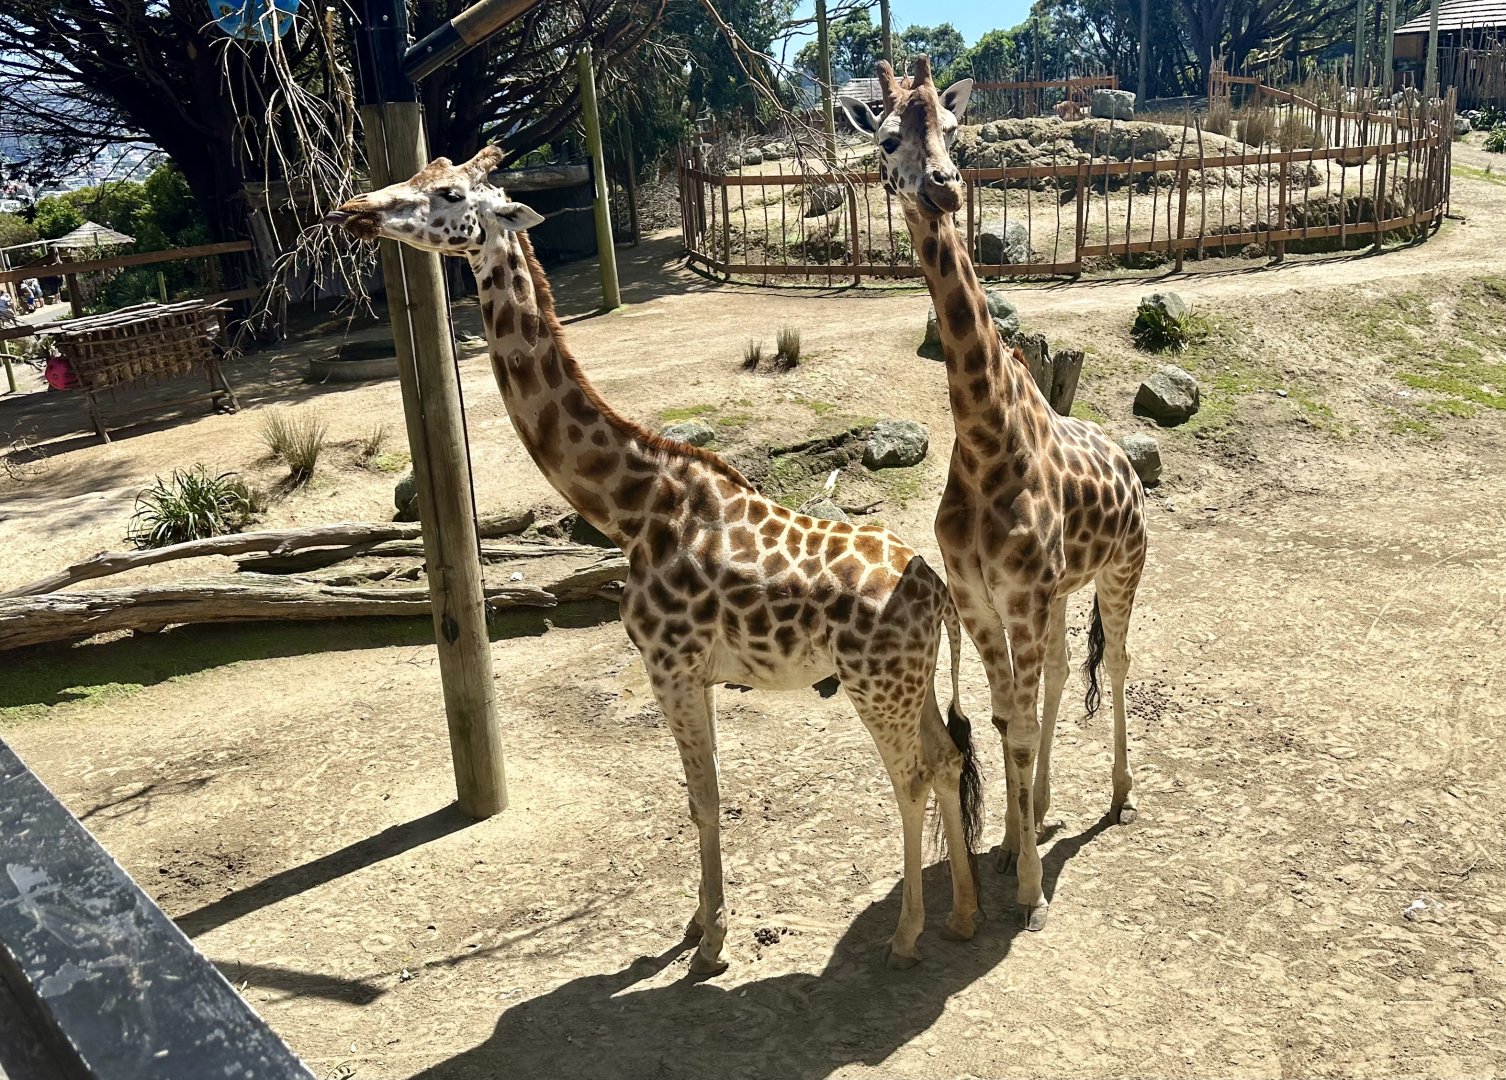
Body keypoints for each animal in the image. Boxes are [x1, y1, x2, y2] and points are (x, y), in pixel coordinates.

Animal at [325, 148, 984, 973]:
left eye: (446, 191)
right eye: (423, 170)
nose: (353, 210)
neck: (631, 506)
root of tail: (939, 594)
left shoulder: (671, 665)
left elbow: (704, 800)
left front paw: (712, 943)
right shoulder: (694, 673)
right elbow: (698, 796)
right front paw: (696, 924)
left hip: (876, 685)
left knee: (912, 775)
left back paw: (906, 934)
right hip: (910, 681)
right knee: (950, 758)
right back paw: (960, 916)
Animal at [841, 59, 1149, 931]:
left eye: (954, 129)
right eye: (888, 137)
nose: (945, 187)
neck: (984, 440)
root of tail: (1130, 466)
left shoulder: (1020, 596)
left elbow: (1017, 723)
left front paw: (1032, 895)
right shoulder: (982, 599)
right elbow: (1008, 716)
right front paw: (1011, 849)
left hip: (1122, 570)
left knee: (1116, 664)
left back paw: (1119, 795)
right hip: (1058, 593)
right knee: (1056, 678)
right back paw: (1036, 811)